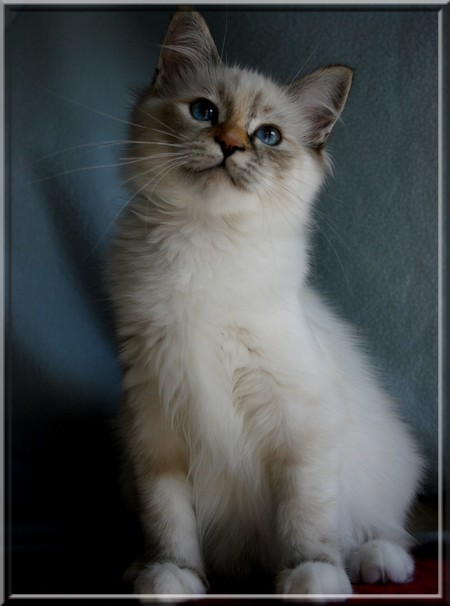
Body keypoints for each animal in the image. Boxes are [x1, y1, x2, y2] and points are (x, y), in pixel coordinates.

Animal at [107, 9, 424, 600]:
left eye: (268, 136)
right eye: (204, 112)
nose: (231, 143)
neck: (204, 243)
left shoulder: (301, 424)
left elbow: (305, 518)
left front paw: (310, 577)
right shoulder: (155, 427)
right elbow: (169, 521)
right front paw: (173, 578)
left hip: (387, 464)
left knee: (383, 528)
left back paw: (374, 562)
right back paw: (141, 569)